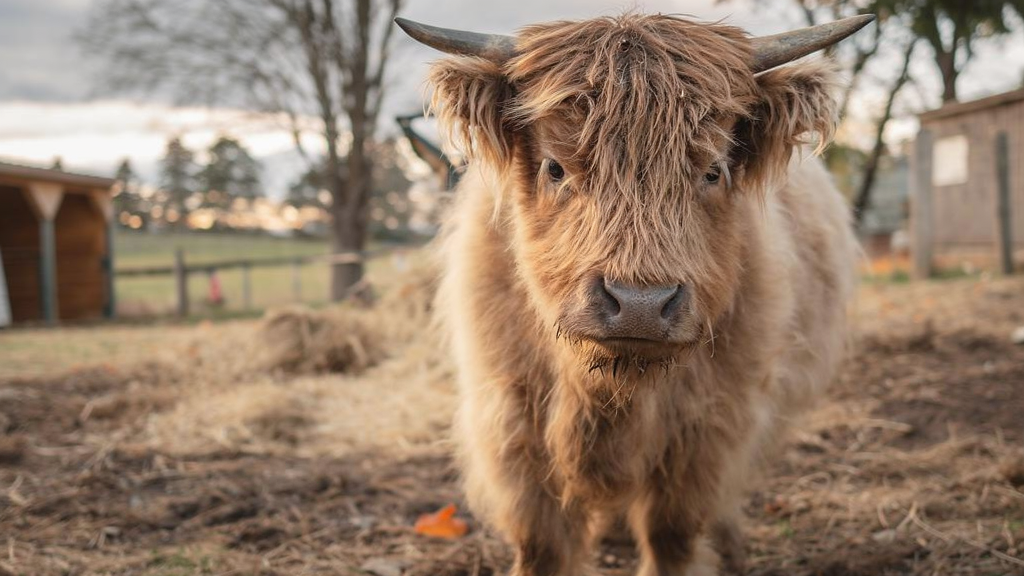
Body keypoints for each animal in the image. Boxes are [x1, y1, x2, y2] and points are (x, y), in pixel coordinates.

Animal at [398, 12, 869, 576]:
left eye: (713, 170)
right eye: (555, 167)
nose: (640, 305)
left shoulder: (709, 429)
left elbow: (671, 538)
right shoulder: (512, 424)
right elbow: (542, 544)